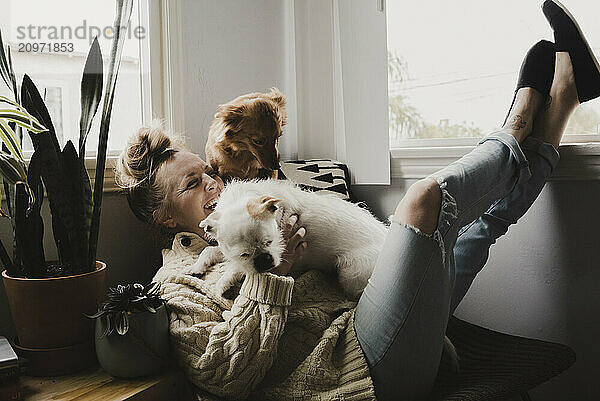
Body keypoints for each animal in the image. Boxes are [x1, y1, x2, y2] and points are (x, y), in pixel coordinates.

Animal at [191, 178, 390, 296]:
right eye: (244, 254)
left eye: (270, 241)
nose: (265, 260)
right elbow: (209, 250)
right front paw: (197, 267)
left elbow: (235, 268)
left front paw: (222, 283)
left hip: (350, 274)